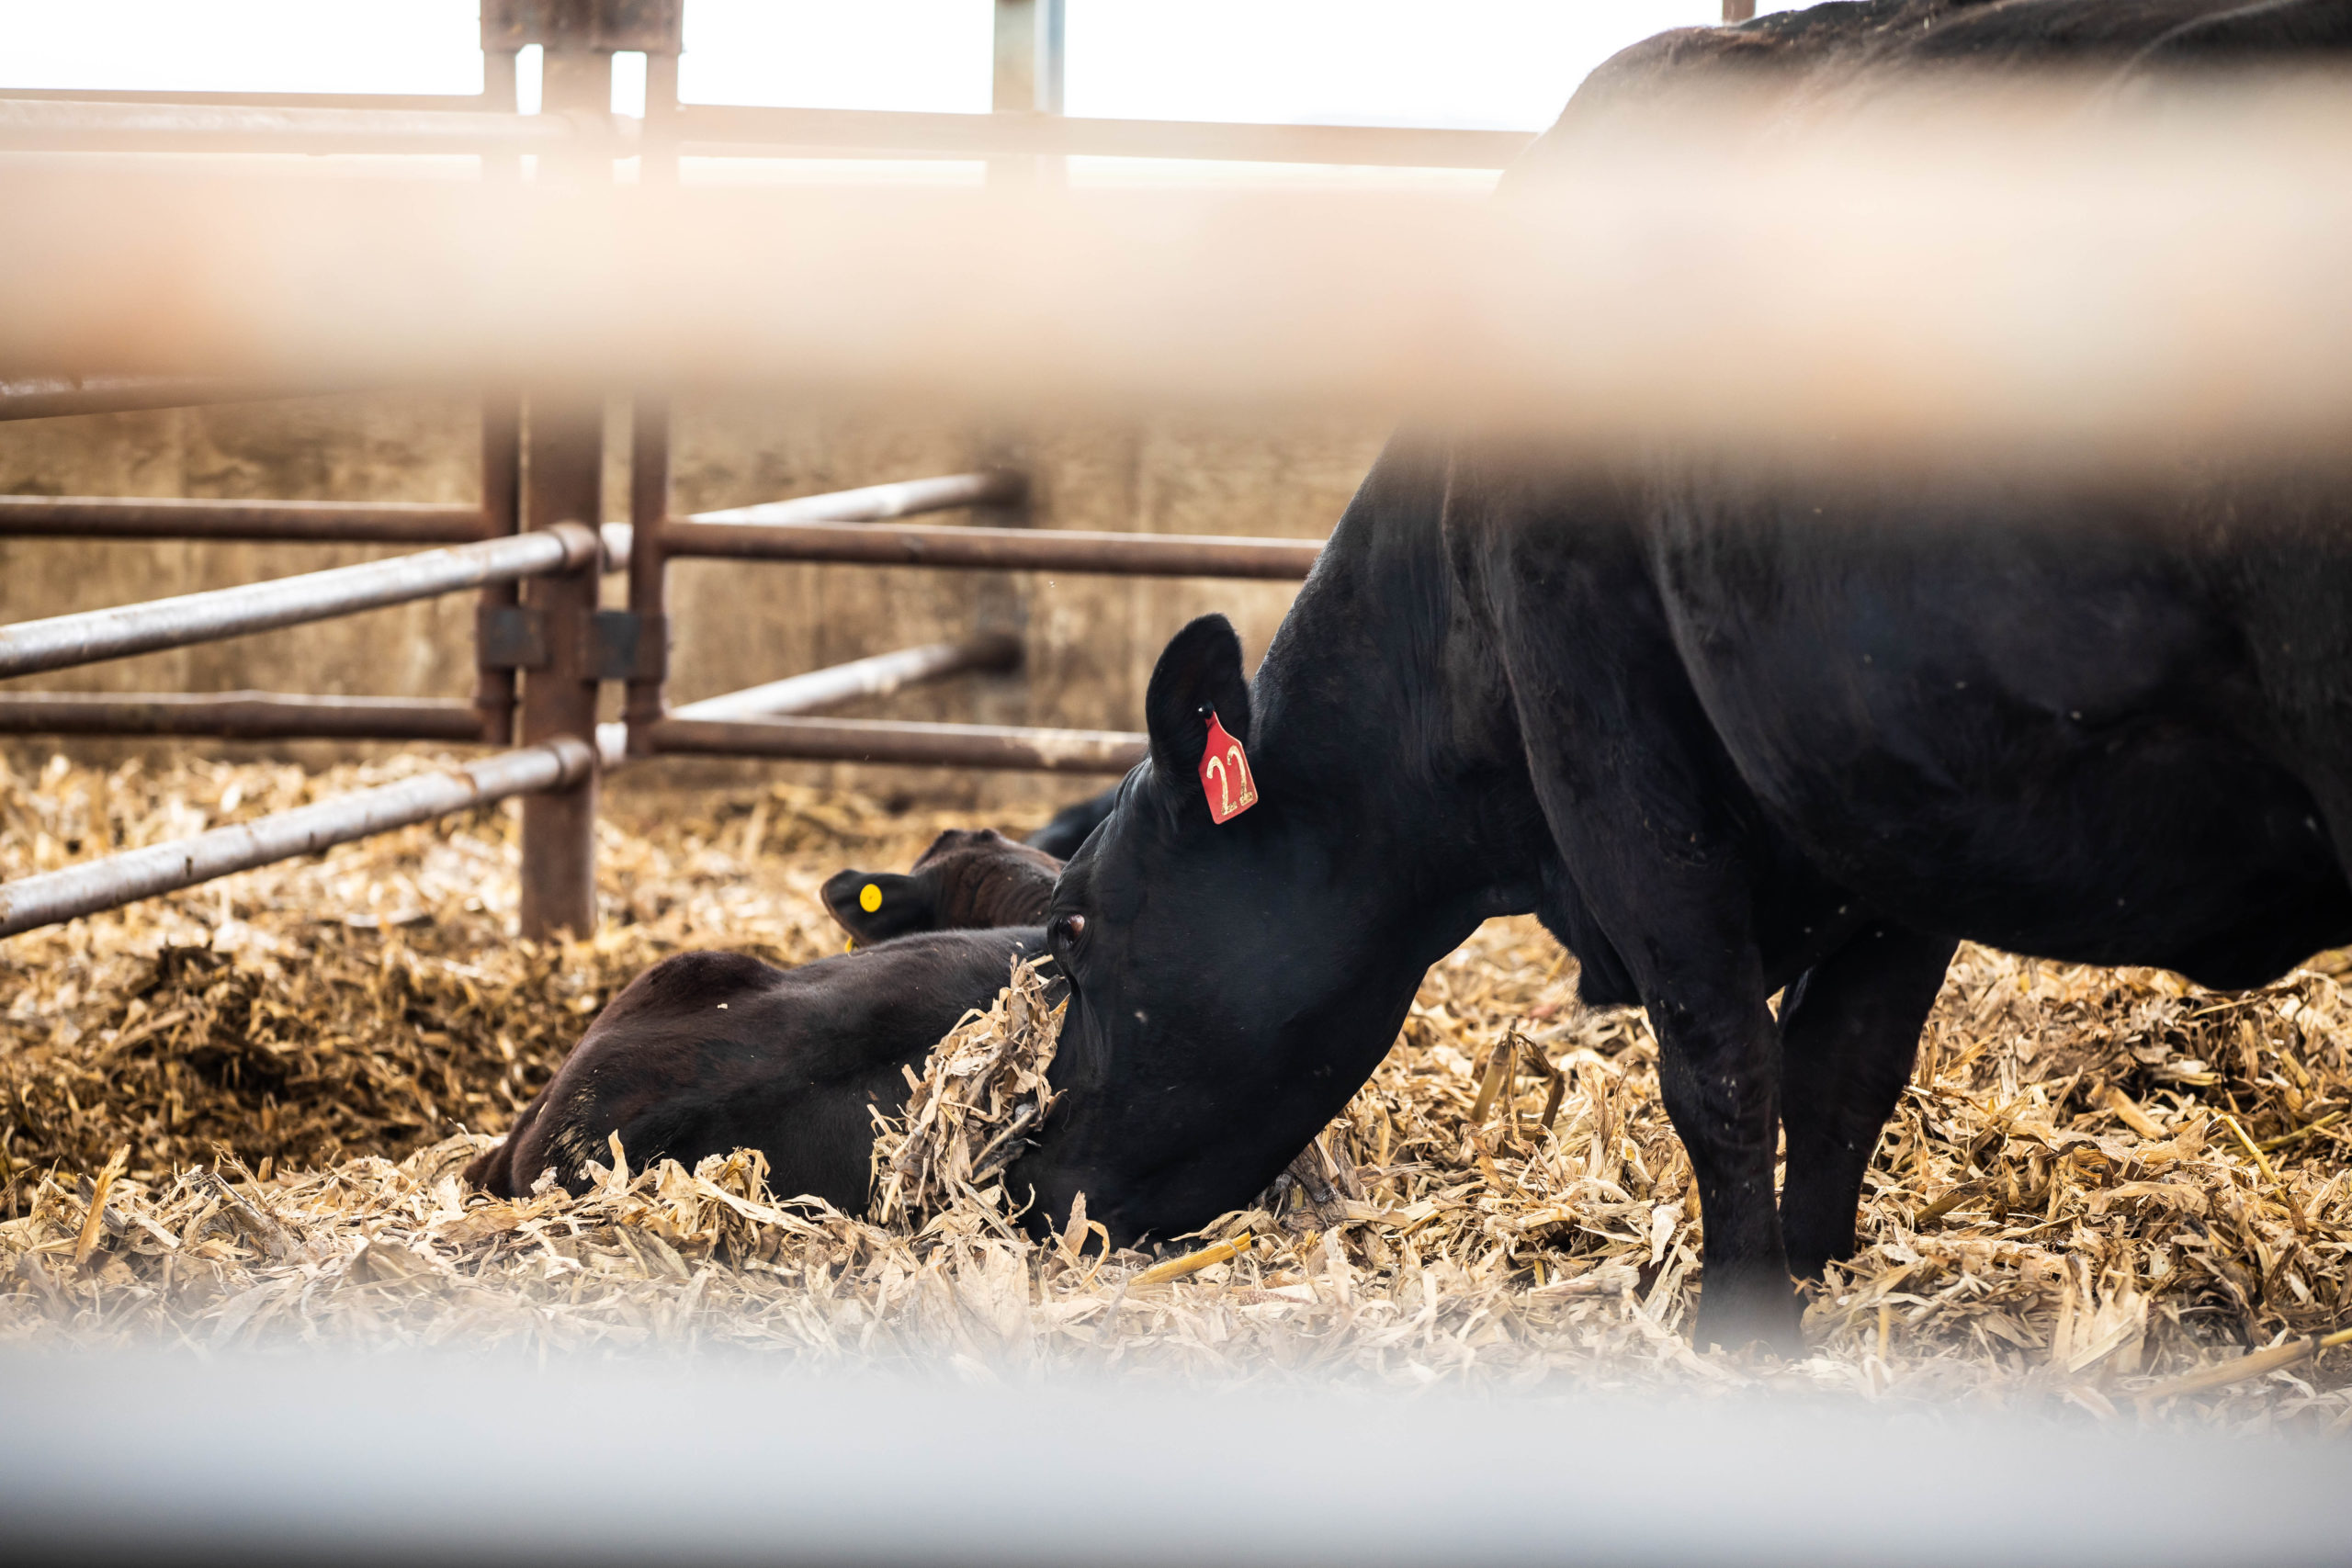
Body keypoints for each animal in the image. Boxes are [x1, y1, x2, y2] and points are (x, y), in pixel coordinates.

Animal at [1015, 0, 2352, 1354]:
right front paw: (1814, 1272)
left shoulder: (1612, 760)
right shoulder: (1891, 804)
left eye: (1072, 927)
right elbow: (1842, 1067)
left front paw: (1740, 1322)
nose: (1027, 1183)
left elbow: (1720, 1061)